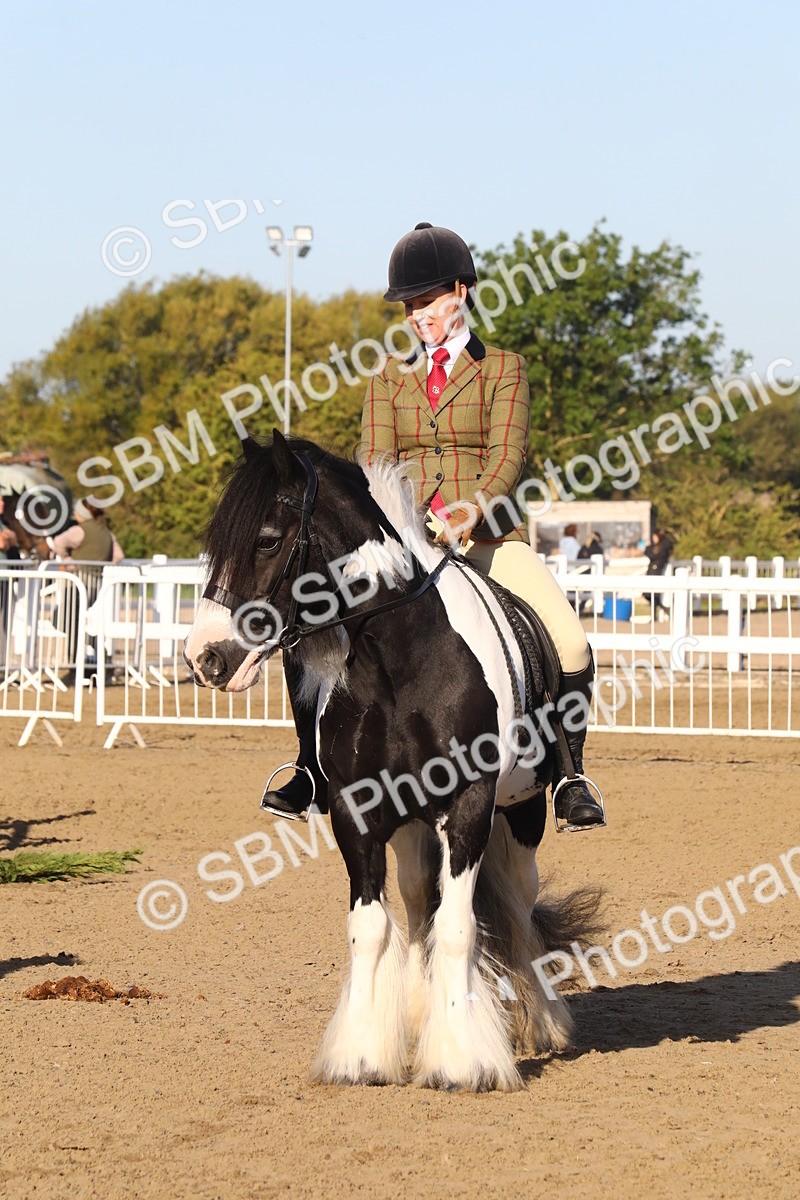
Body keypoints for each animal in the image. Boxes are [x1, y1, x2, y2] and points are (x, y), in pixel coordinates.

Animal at [184, 431, 601, 1092]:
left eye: (268, 539)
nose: (204, 659)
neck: (397, 657)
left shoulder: (469, 805)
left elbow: (459, 928)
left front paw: (462, 1061)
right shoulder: (358, 810)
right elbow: (373, 928)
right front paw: (360, 1054)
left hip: (522, 814)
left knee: (516, 903)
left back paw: (543, 1021)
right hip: (409, 826)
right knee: (417, 902)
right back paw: (418, 1015)